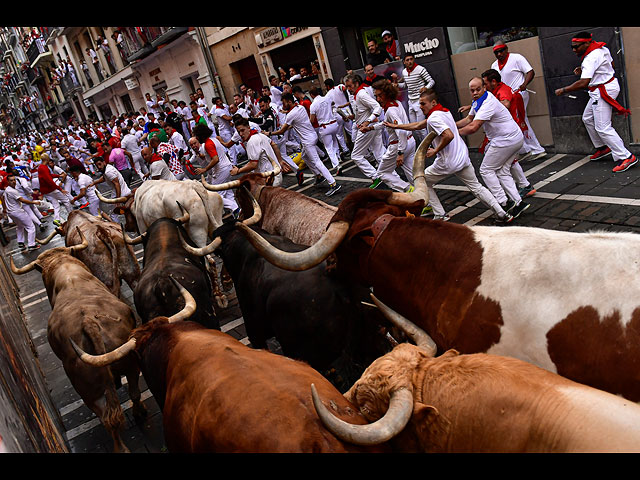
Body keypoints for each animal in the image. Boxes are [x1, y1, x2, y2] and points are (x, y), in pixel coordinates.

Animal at [11, 229, 148, 454]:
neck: (66, 270)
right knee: (130, 396)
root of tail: (89, 322)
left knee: (108, 417)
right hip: (126, 365)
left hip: (87, 386)